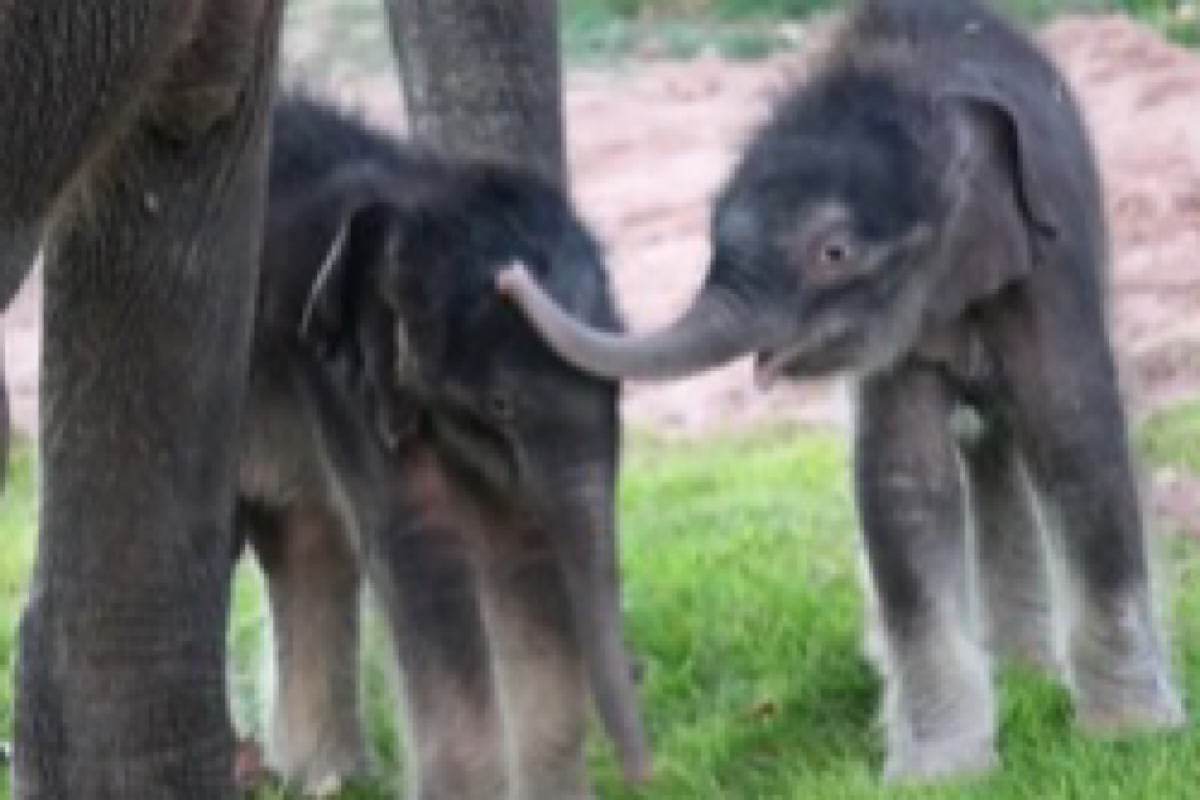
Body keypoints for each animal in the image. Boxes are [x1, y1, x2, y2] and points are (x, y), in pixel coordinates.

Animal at [232, 95, 648, 800]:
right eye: (500, 403)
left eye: (619, 383)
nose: (647, 771)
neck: (414, 191)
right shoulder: (343, 381)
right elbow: (425, 548)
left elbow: (520, 549)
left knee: (305, 539)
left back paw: (323, 778)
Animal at [494, 0, 1180, 782]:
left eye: (834, 253)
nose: (508, 278)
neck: (914, 101)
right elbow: (902, 479)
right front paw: (940, 776)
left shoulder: (1051, 263)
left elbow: (1076, 437)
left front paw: (1129, 739)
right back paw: (1009, 671)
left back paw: (1029, 674)